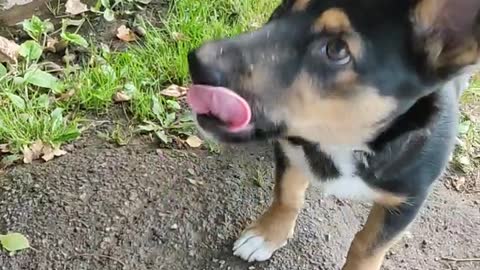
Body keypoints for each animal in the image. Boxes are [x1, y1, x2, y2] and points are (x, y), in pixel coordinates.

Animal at [186, 1, 478, 268]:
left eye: (337, 50)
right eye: (281, 10)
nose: (196, 60)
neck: (342, 143)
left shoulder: (408, 199)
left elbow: (368, 246)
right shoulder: (291, 151)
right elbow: (287, 195)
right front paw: (267, 235)